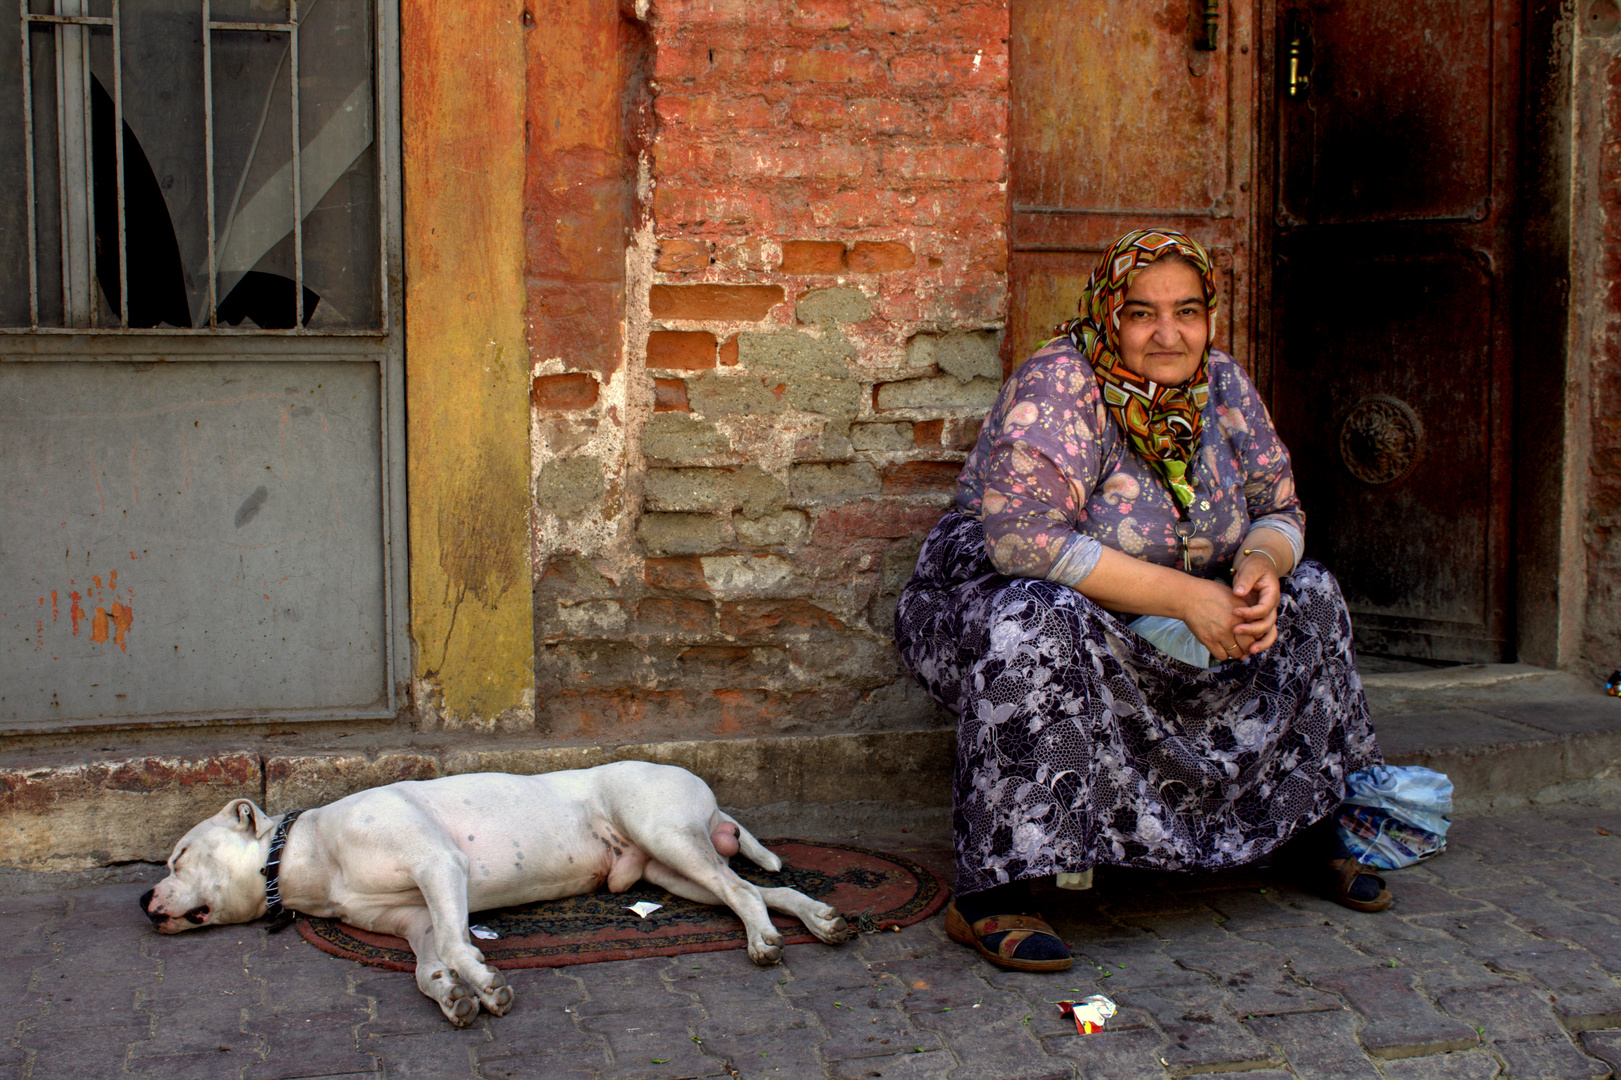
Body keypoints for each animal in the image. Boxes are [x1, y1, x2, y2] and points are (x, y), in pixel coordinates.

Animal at [136, 755, 862, 1018]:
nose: (142, 901)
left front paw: (484, 983)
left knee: (746, 894)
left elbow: (461, 945)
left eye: (177, 856)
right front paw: (453, 996)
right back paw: (819, 919)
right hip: (673, 870)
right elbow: (428, 966)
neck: (307, 854)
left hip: (665, 834)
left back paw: (765, 940)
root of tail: (699, 786)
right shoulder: (412, 920)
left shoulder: (439, 868)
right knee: (760, 890)